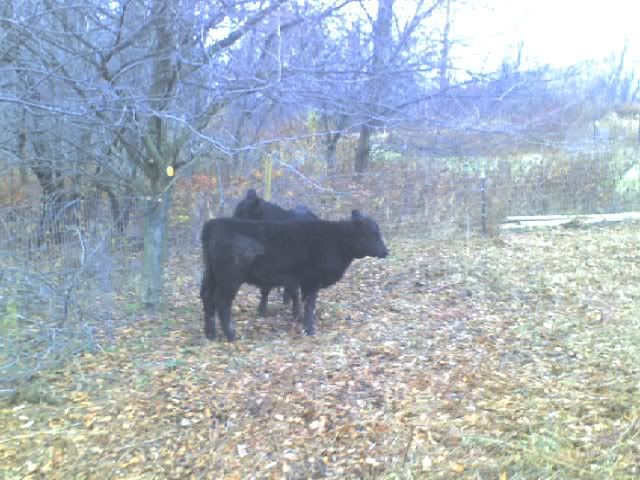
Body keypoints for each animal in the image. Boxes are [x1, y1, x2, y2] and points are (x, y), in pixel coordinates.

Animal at [200, 210, 389, 341]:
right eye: (372, 234)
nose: (386, 251)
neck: (336, 240)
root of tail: (214, 223)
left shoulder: (298, 281)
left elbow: (298, 300)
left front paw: (299, 320)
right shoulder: (312, 280)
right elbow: (309, 304)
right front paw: (309, 329)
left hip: (211, 276)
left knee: (208, 299)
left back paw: (211, 335)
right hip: (230, 280)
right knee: (222, 303)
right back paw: (231, 336)